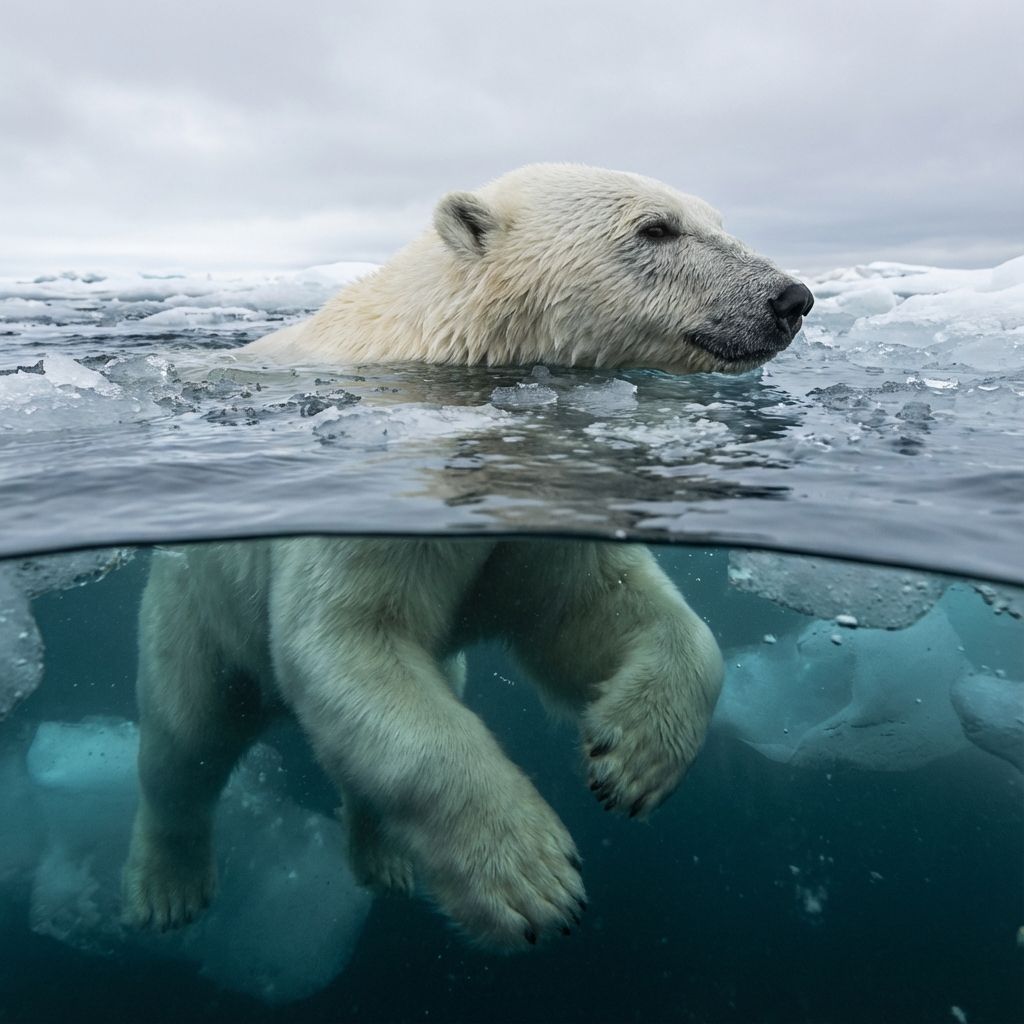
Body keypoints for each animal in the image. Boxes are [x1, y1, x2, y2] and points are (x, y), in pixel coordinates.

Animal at [123, 164, 812, 949]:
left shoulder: (539, 522)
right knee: (185, 741)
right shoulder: (377, 505)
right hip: (195, 604)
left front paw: (633, 758)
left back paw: (385, 859)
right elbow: (349, 640)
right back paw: (169, 887)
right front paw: (529, 877)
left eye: (719, 221)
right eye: (656, 228)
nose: (790, 298)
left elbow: (601, 612)